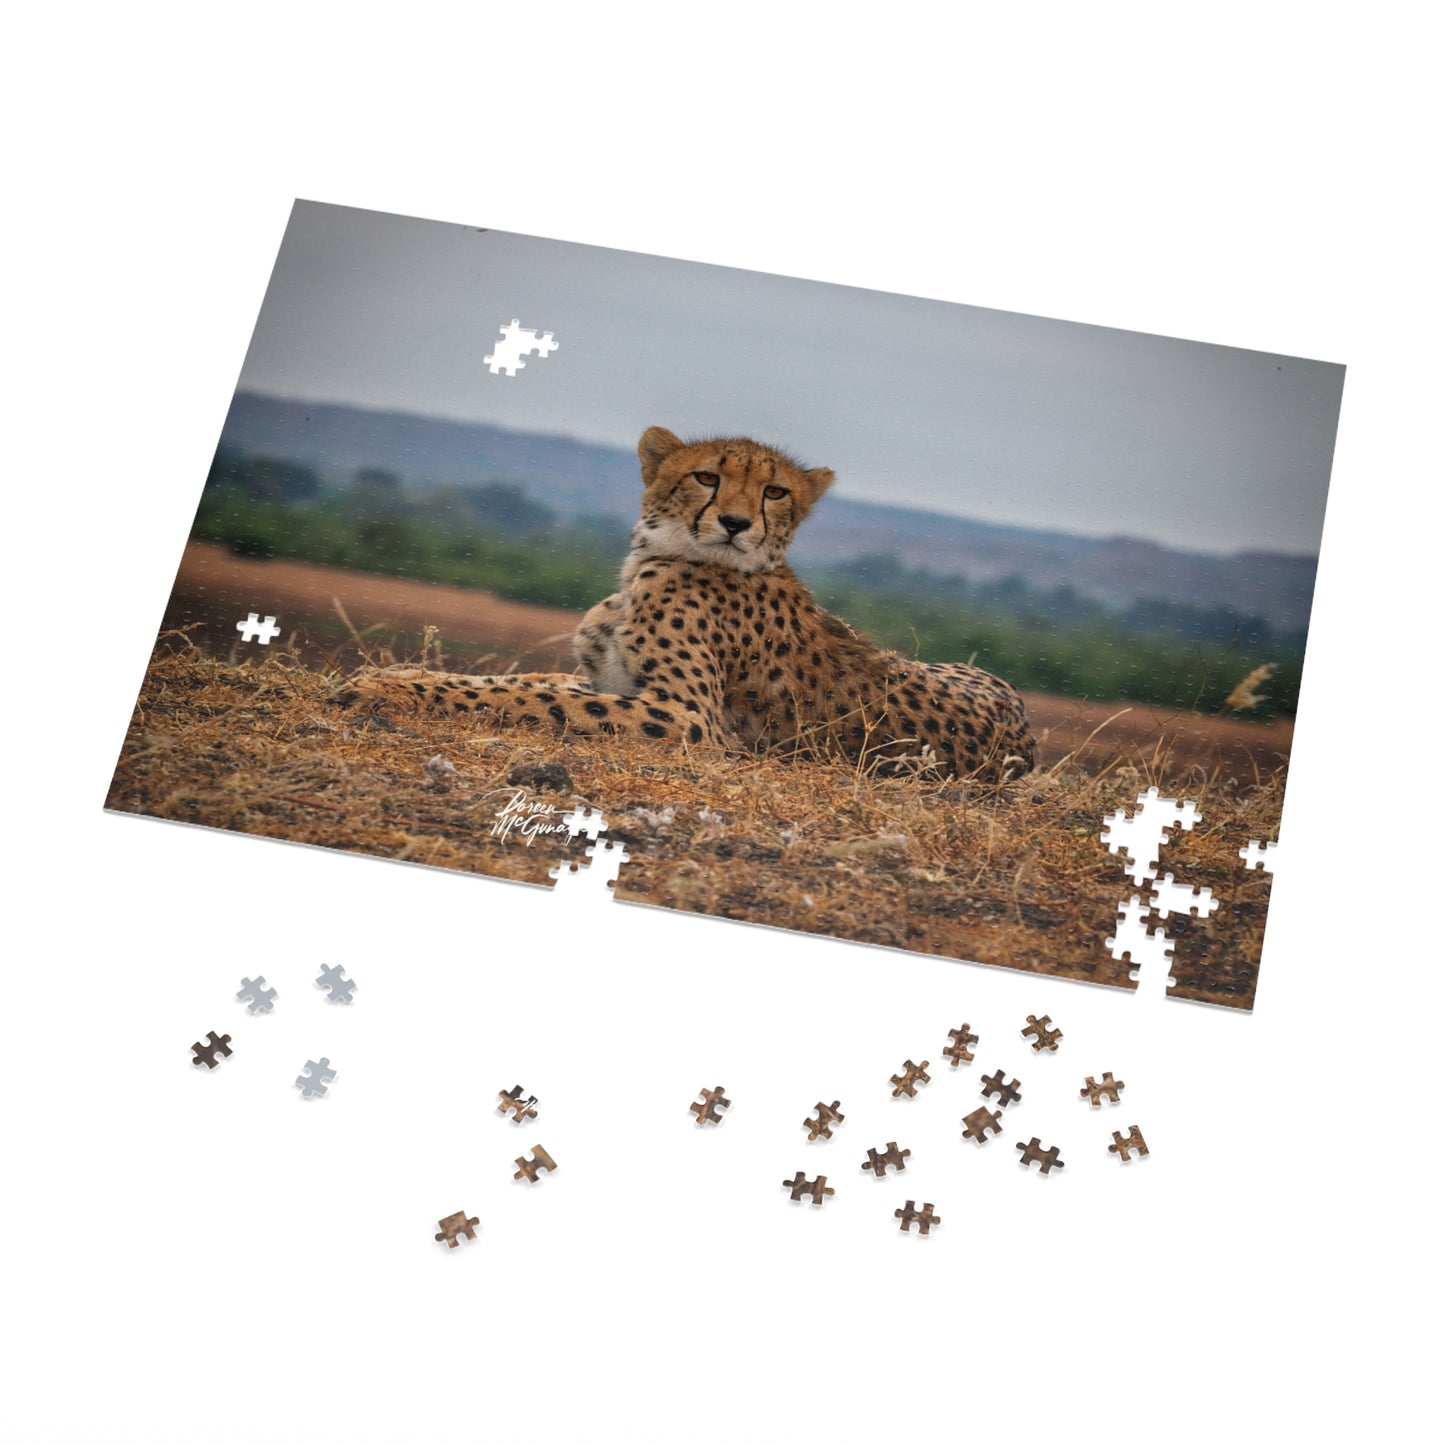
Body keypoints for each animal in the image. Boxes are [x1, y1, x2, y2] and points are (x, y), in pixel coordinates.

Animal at [332, 427, 1036, 782]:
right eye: (706, 476)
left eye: (775, 491)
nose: (734, 522)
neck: (654, 559)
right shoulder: (606, 678)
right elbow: (520, 682)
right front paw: (393, 675)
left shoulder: (691, 719)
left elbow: (534, 699)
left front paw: (383, 691)